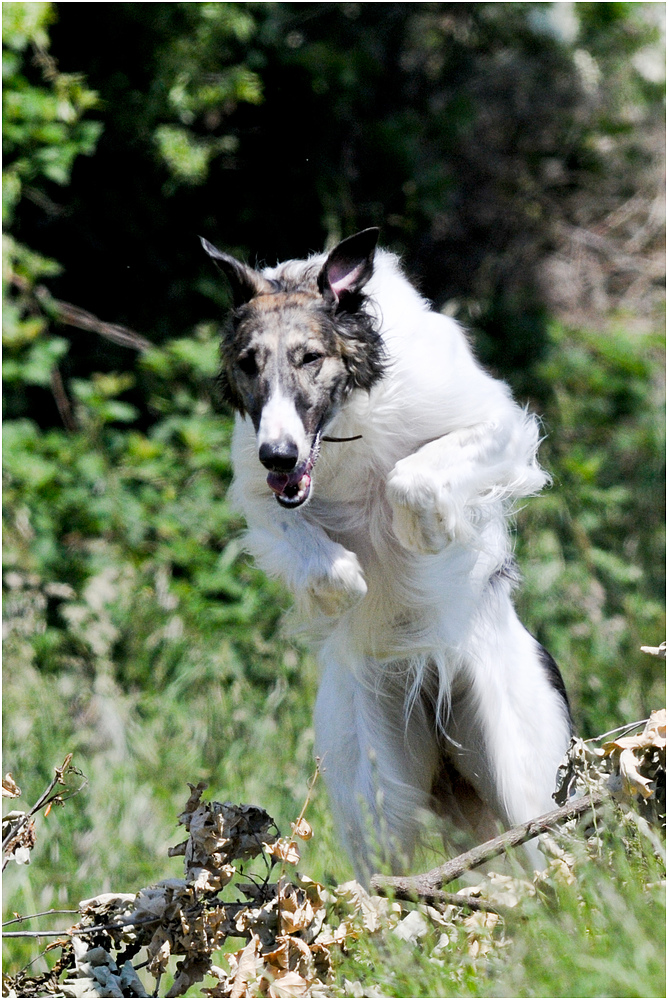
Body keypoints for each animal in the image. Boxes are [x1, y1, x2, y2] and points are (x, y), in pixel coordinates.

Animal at [201, 225, 572, 876]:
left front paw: (429, 533)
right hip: (373, 789)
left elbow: (410, 478)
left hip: (524, 780)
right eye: (248, 363)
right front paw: (344, 587)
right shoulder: (259, 490)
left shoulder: (497, 424)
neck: (349, 421)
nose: (279, 454)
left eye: (310, 357)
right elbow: (308, 546)